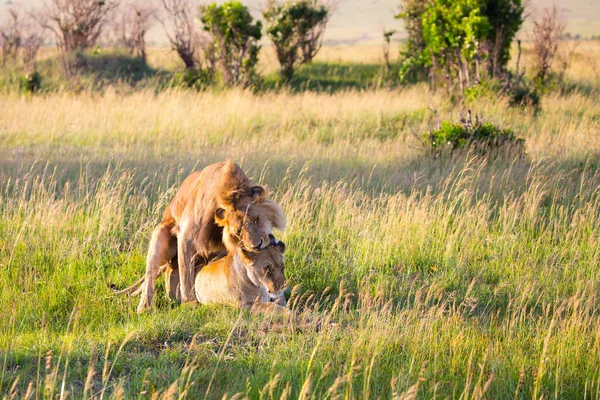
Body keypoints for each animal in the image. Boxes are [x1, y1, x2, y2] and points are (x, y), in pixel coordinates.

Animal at [138, 161, 286, 314]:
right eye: (238, 231)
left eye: (256, 220)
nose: (256, 246)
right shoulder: (185, 238)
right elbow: (186, 276)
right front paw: (190, 304)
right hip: (160, 235)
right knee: (150, 275)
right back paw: (144, 307)